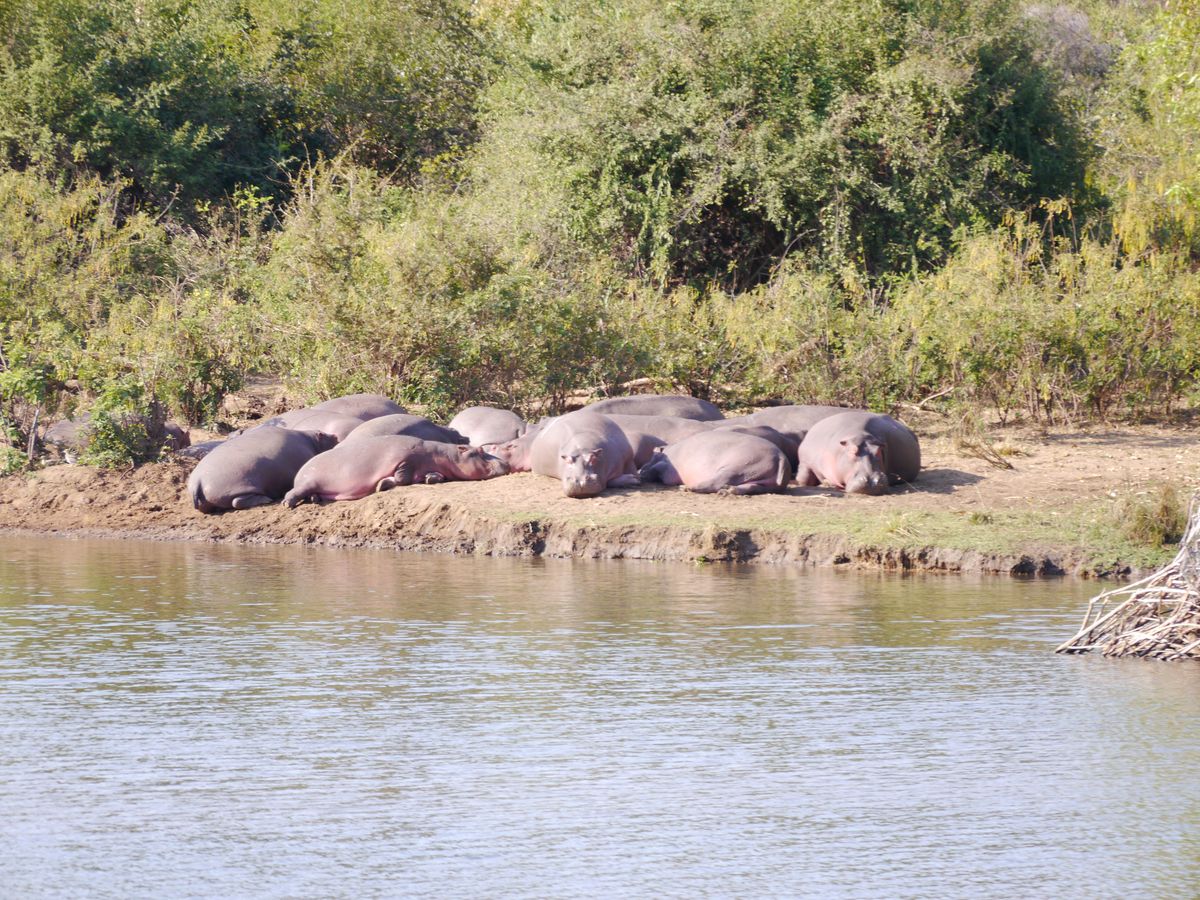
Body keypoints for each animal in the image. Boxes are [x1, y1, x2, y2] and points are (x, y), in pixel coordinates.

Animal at [188, 426, 338, 513]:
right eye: (322, 433)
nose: (335, 435)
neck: (311, 440)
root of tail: (197, 481)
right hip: (235, 487)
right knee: (237, 502)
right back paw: (266, 500)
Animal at [283, 436, 509, 507]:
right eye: (480, 451)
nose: (506, 463)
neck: (445, 454)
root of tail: (300, 471)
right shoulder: (405, 459)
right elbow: (403, 477)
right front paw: (383, 484)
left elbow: (435, 476)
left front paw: (430, 477)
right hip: (308, 481)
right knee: (292, 492)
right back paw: (288, 504)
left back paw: (314, 500)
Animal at [639, 430, 792, 495]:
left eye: (652, 453)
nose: (639, 470)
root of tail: (781, 457)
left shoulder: (664, 466)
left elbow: (657, 468)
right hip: (764, 482)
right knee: (752, 487)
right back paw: (727, 491)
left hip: (736, 469)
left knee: (715, 482)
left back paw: (686, 488)